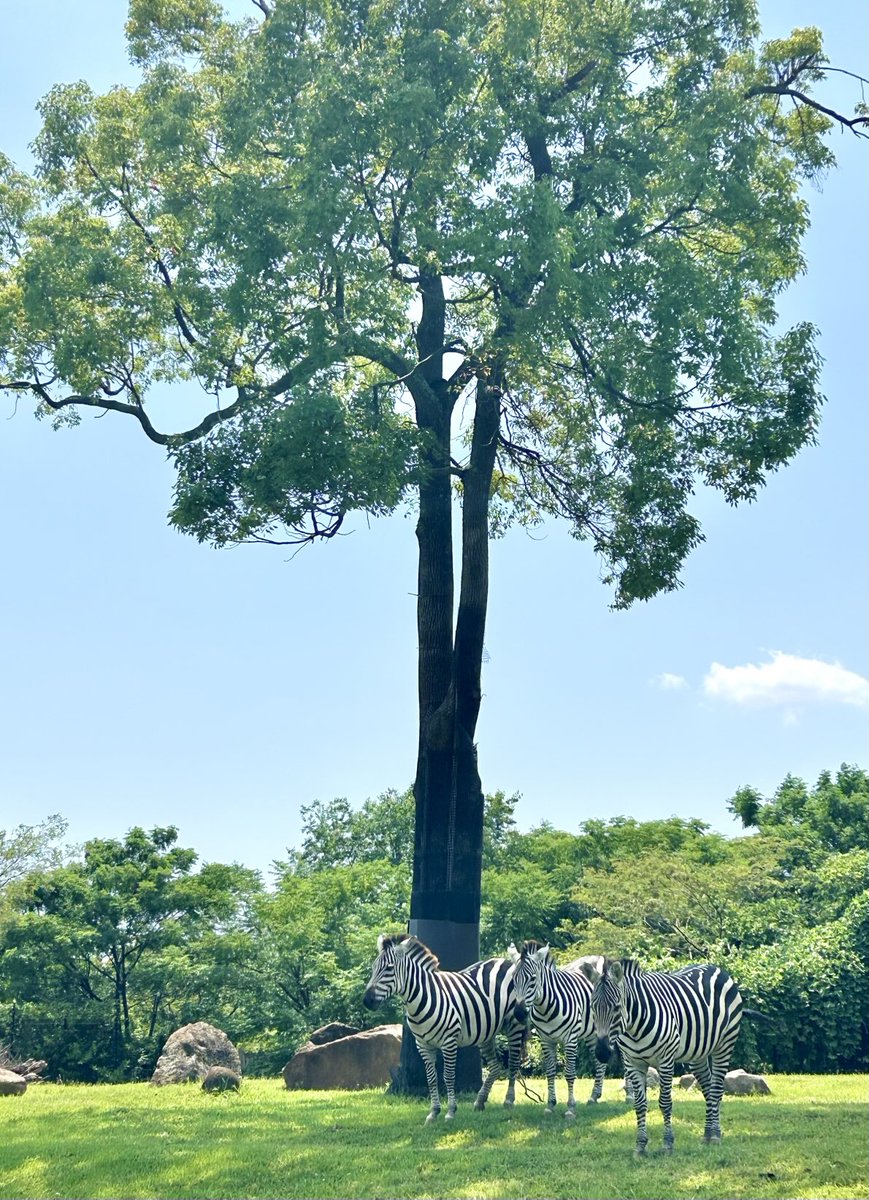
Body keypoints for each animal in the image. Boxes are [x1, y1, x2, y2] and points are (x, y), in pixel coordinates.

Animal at [363, 933, 526, 1123]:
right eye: (374, 967)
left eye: (389, 968)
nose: (366, 1001)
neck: (422, 999)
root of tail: (504, 961)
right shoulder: (423, 1045)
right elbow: (431, 1079)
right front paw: (433, 1112)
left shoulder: (449, 1042)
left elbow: (448, 1077)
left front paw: (450, 1111)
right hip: (487, 1031)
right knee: (495, 1066)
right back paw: (479, 1101)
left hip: (514, 1025)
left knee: (513, 1063)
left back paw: (508, 1101)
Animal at [579, 956, 743, 1155]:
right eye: (592, 1007)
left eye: (617, 1008)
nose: (602, 1053)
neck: (634, 1028)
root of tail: (713, 967)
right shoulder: (633, 1062)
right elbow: (640, 1104)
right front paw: (640, 1146)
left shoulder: (665, 1060)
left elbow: (665, 1103)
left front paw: (667, 1144)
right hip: (698, 1055)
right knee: (708, 1090)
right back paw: (707, 1134)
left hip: (724, 1045)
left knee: (717, 1089)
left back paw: (715, 1136)